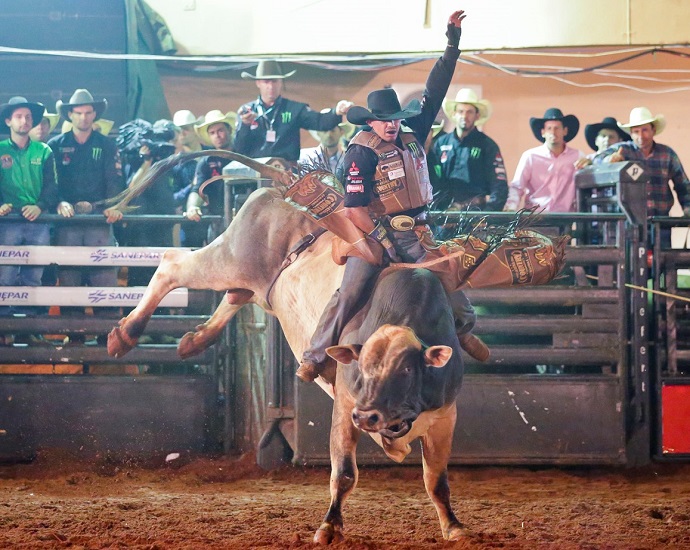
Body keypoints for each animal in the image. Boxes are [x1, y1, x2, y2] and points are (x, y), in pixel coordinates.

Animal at [103, 152, 564, 548]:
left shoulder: (444, 416)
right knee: (172, 265)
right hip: (229, 257)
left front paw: (453, 526)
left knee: (237, 296)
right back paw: (125, 335)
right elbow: (343, 473)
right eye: (362, 368)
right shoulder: (344, 404)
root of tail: (279, 181)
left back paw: (193, 340)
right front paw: (329, 528)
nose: (370, 416)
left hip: (254, 282)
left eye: (407, 371)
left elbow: (436, 479)